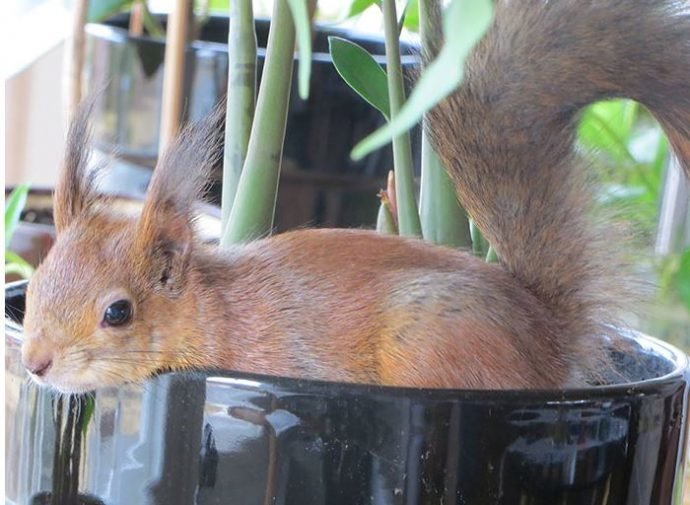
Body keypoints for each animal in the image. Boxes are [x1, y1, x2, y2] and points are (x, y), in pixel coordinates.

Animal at [18, 0, 684, 394]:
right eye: (38, 281)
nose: (34, 364)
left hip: (437, 351)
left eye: (118, 313)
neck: (213, 311)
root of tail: (550, 335)